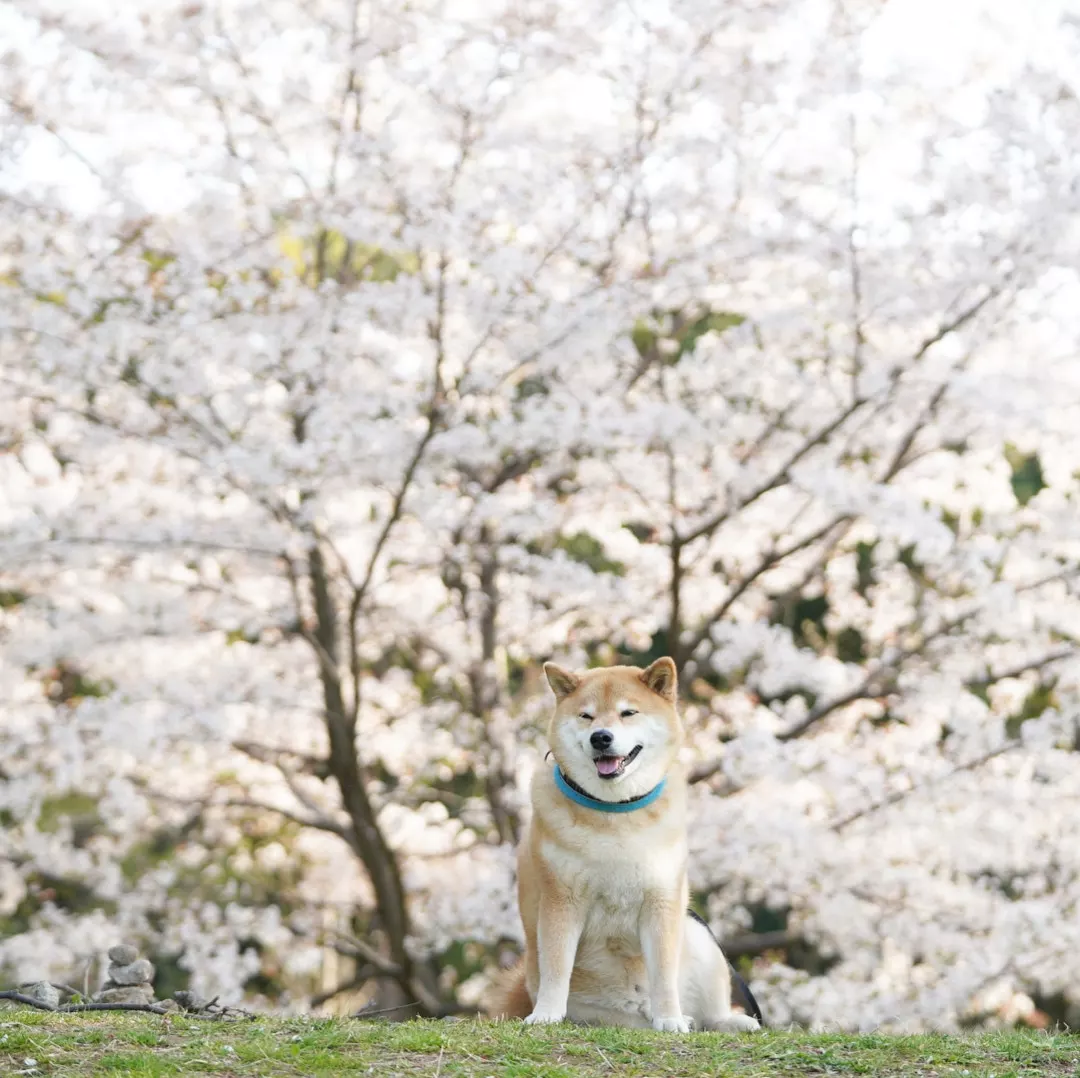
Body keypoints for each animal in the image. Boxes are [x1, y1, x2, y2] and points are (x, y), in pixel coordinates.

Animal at [490, 656, 760, 1036]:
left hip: (699, 935)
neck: (614, 810)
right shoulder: (560, 900)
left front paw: (670, 1019)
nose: (601, 737)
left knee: (711, 1013)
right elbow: (556, 966)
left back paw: (723, 1020)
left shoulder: (662, 900)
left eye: (628, 713)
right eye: (586, 716)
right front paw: (546, 1015)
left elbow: (663, 972)